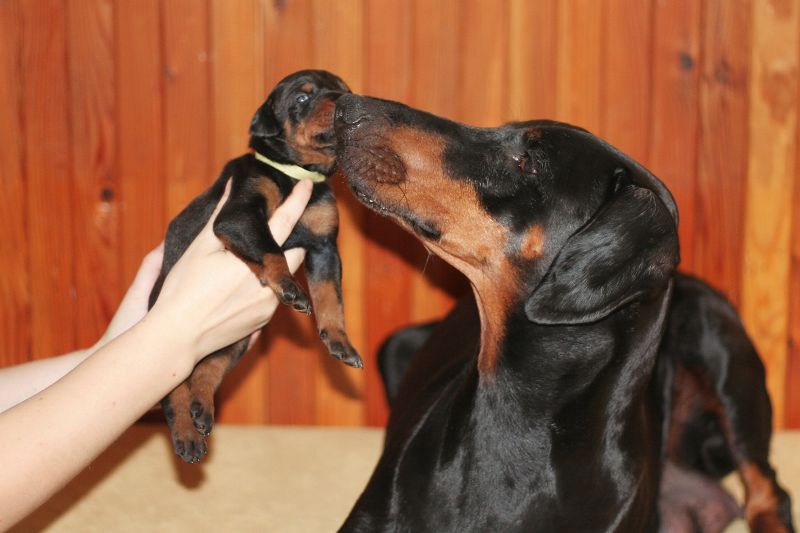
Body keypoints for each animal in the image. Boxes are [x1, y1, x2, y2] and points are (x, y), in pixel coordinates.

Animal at [148, 70, 360, 464]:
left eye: (343, 89)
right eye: (302, 98)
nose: (344, 102)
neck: (298, 173)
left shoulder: (324, 247)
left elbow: (331, 297)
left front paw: (340, 341)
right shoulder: (238, 216)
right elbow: (271, 249)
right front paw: (290, 287)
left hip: (234, 344)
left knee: (207, 370)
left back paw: (202, 409)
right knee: (174, 392)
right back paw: (186, 434)